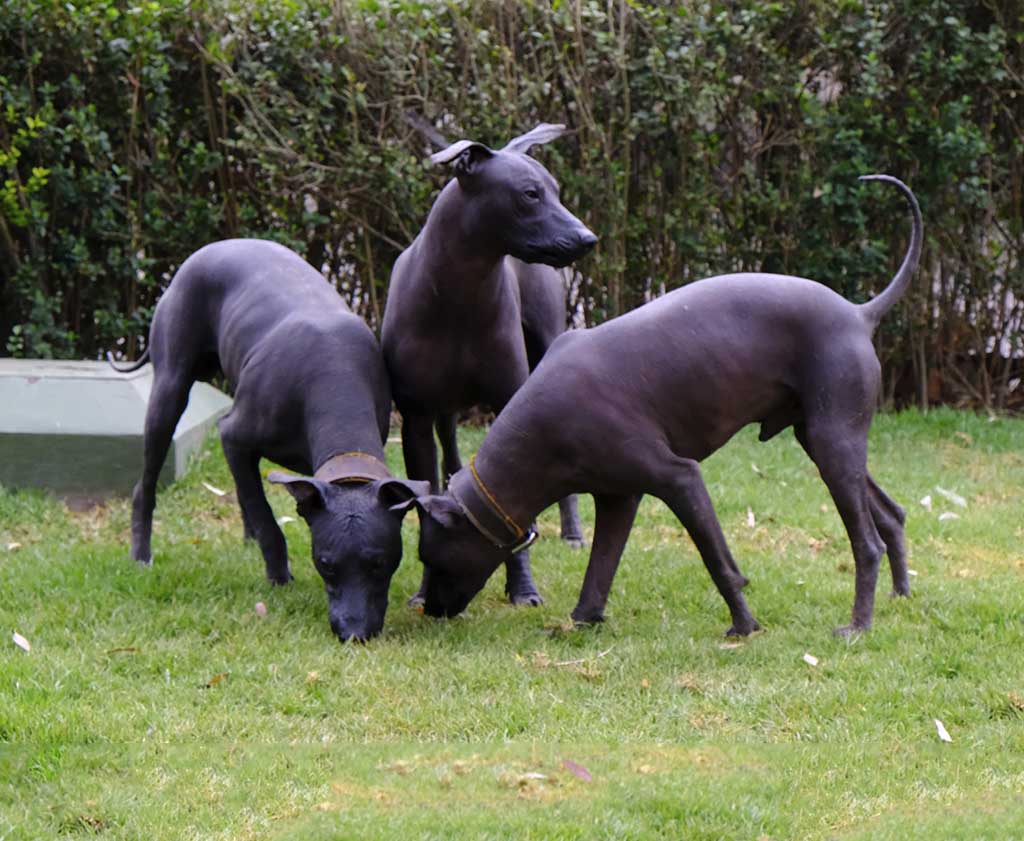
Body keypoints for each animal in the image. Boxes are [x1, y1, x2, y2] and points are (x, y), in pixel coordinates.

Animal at [111, 239, 428, 639]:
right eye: (326, 563)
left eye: (381, 563)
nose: (353, 633)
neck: (336, 378)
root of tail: (206, 250)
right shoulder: (233, 437)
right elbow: (266, 517)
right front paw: (279, 577)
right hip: (169, 393)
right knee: (149, 482)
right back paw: (141, 553)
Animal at [380, 122, 598, 602]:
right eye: (530, 194)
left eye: (557, 191)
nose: (588, 238)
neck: (460, 294)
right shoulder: (416, 418)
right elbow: (429, 504)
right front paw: (425, 590)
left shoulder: (509, 401)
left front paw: (522, 589)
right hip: (444, 412)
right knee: (450, 454)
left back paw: (573, 532)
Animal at [395, 175, 925, 635]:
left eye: (430, 559)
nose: (431, 610)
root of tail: (859, 312)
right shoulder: (618, 498)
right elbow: (599, 572)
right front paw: (580, 623)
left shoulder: (679, 478)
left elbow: (718, 563)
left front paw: (744, 627)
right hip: (821, 438)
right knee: (892, 515)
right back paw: (900, 595)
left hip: (833, 441)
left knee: (868, 543)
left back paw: (858, 626)